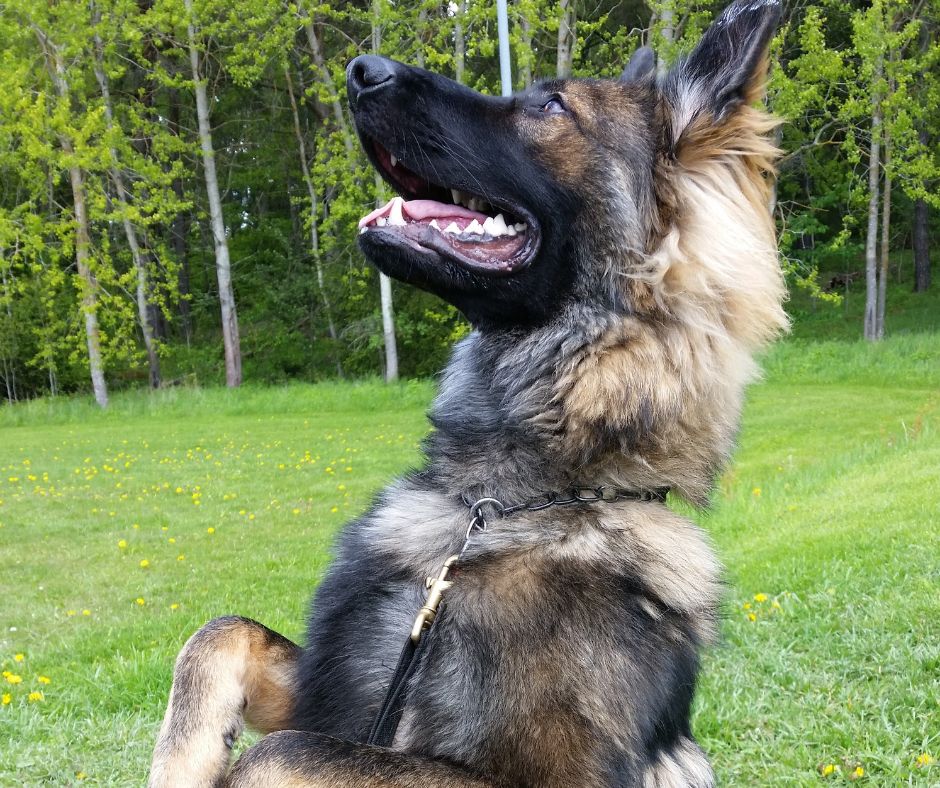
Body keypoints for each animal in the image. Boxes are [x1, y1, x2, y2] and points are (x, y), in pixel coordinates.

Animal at [151, 3, 788, 784]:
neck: (500, 504)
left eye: (550, 106)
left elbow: (280, 751)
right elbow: (218, 634)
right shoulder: (340, 694)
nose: (362, 71)